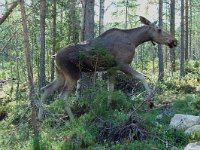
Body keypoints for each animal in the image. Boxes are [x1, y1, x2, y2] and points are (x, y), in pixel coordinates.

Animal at [38, 16, 177, 119]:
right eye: (159, 29)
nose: (174, 41)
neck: (135, 41)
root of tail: (54, 56)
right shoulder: (122, 64)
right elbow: (141, 77)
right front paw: (150, 100)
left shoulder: (112, 68)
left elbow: (111, 88)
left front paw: (109, 106)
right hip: (73, 74)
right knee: (62, 96)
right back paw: (72, 120)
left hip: (60, 75)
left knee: (46, 89)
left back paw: (40, 118)